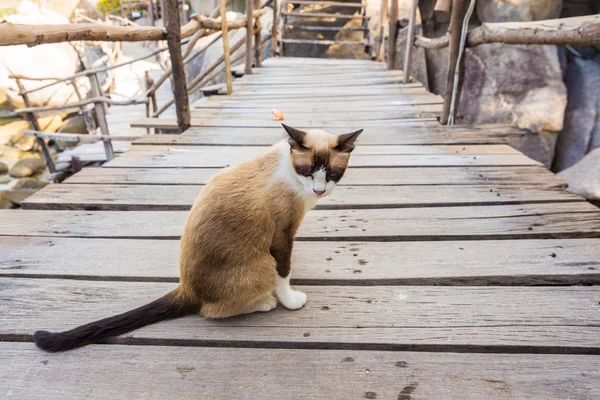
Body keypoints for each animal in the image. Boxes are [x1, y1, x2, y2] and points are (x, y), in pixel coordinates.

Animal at [35, 123, 364, 352]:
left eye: (331, 174)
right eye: (307, 171)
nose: (318, 190)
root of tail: (186, 287)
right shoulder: (282, 237)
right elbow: (284, 272)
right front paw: (290, 300)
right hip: (260, 264)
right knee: (210, 311)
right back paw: (263, 303)